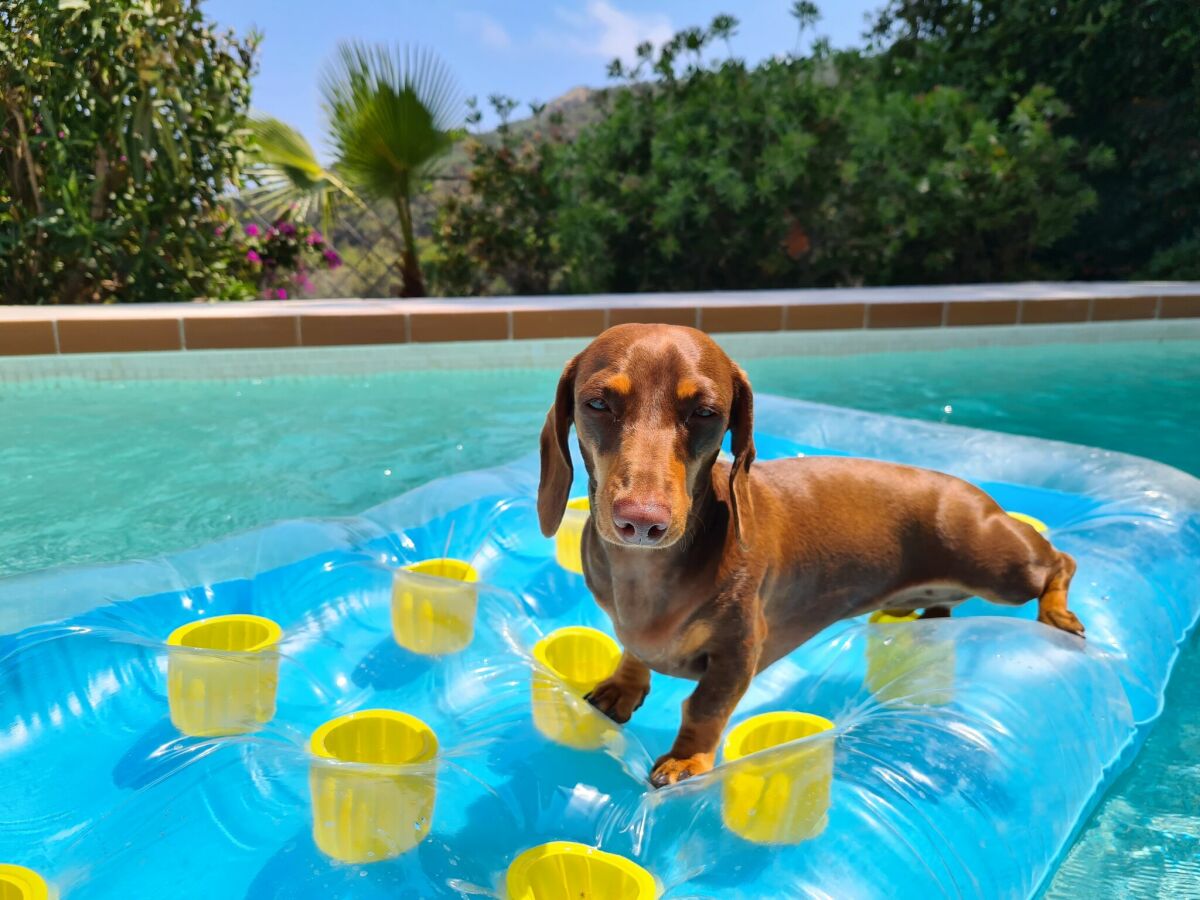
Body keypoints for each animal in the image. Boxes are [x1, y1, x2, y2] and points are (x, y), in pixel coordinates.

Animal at [540, 326, 1084, 787]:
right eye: (597, 403)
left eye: (705, 413)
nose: (641, 522)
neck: (647, 574)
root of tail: (970, 490)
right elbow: (634, 648)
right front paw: (623, 685)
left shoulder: (739, 651)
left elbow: (704, 707)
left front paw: (686, 759)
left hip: (998, 567)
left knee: (1061, 562)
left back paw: (1058, 612)